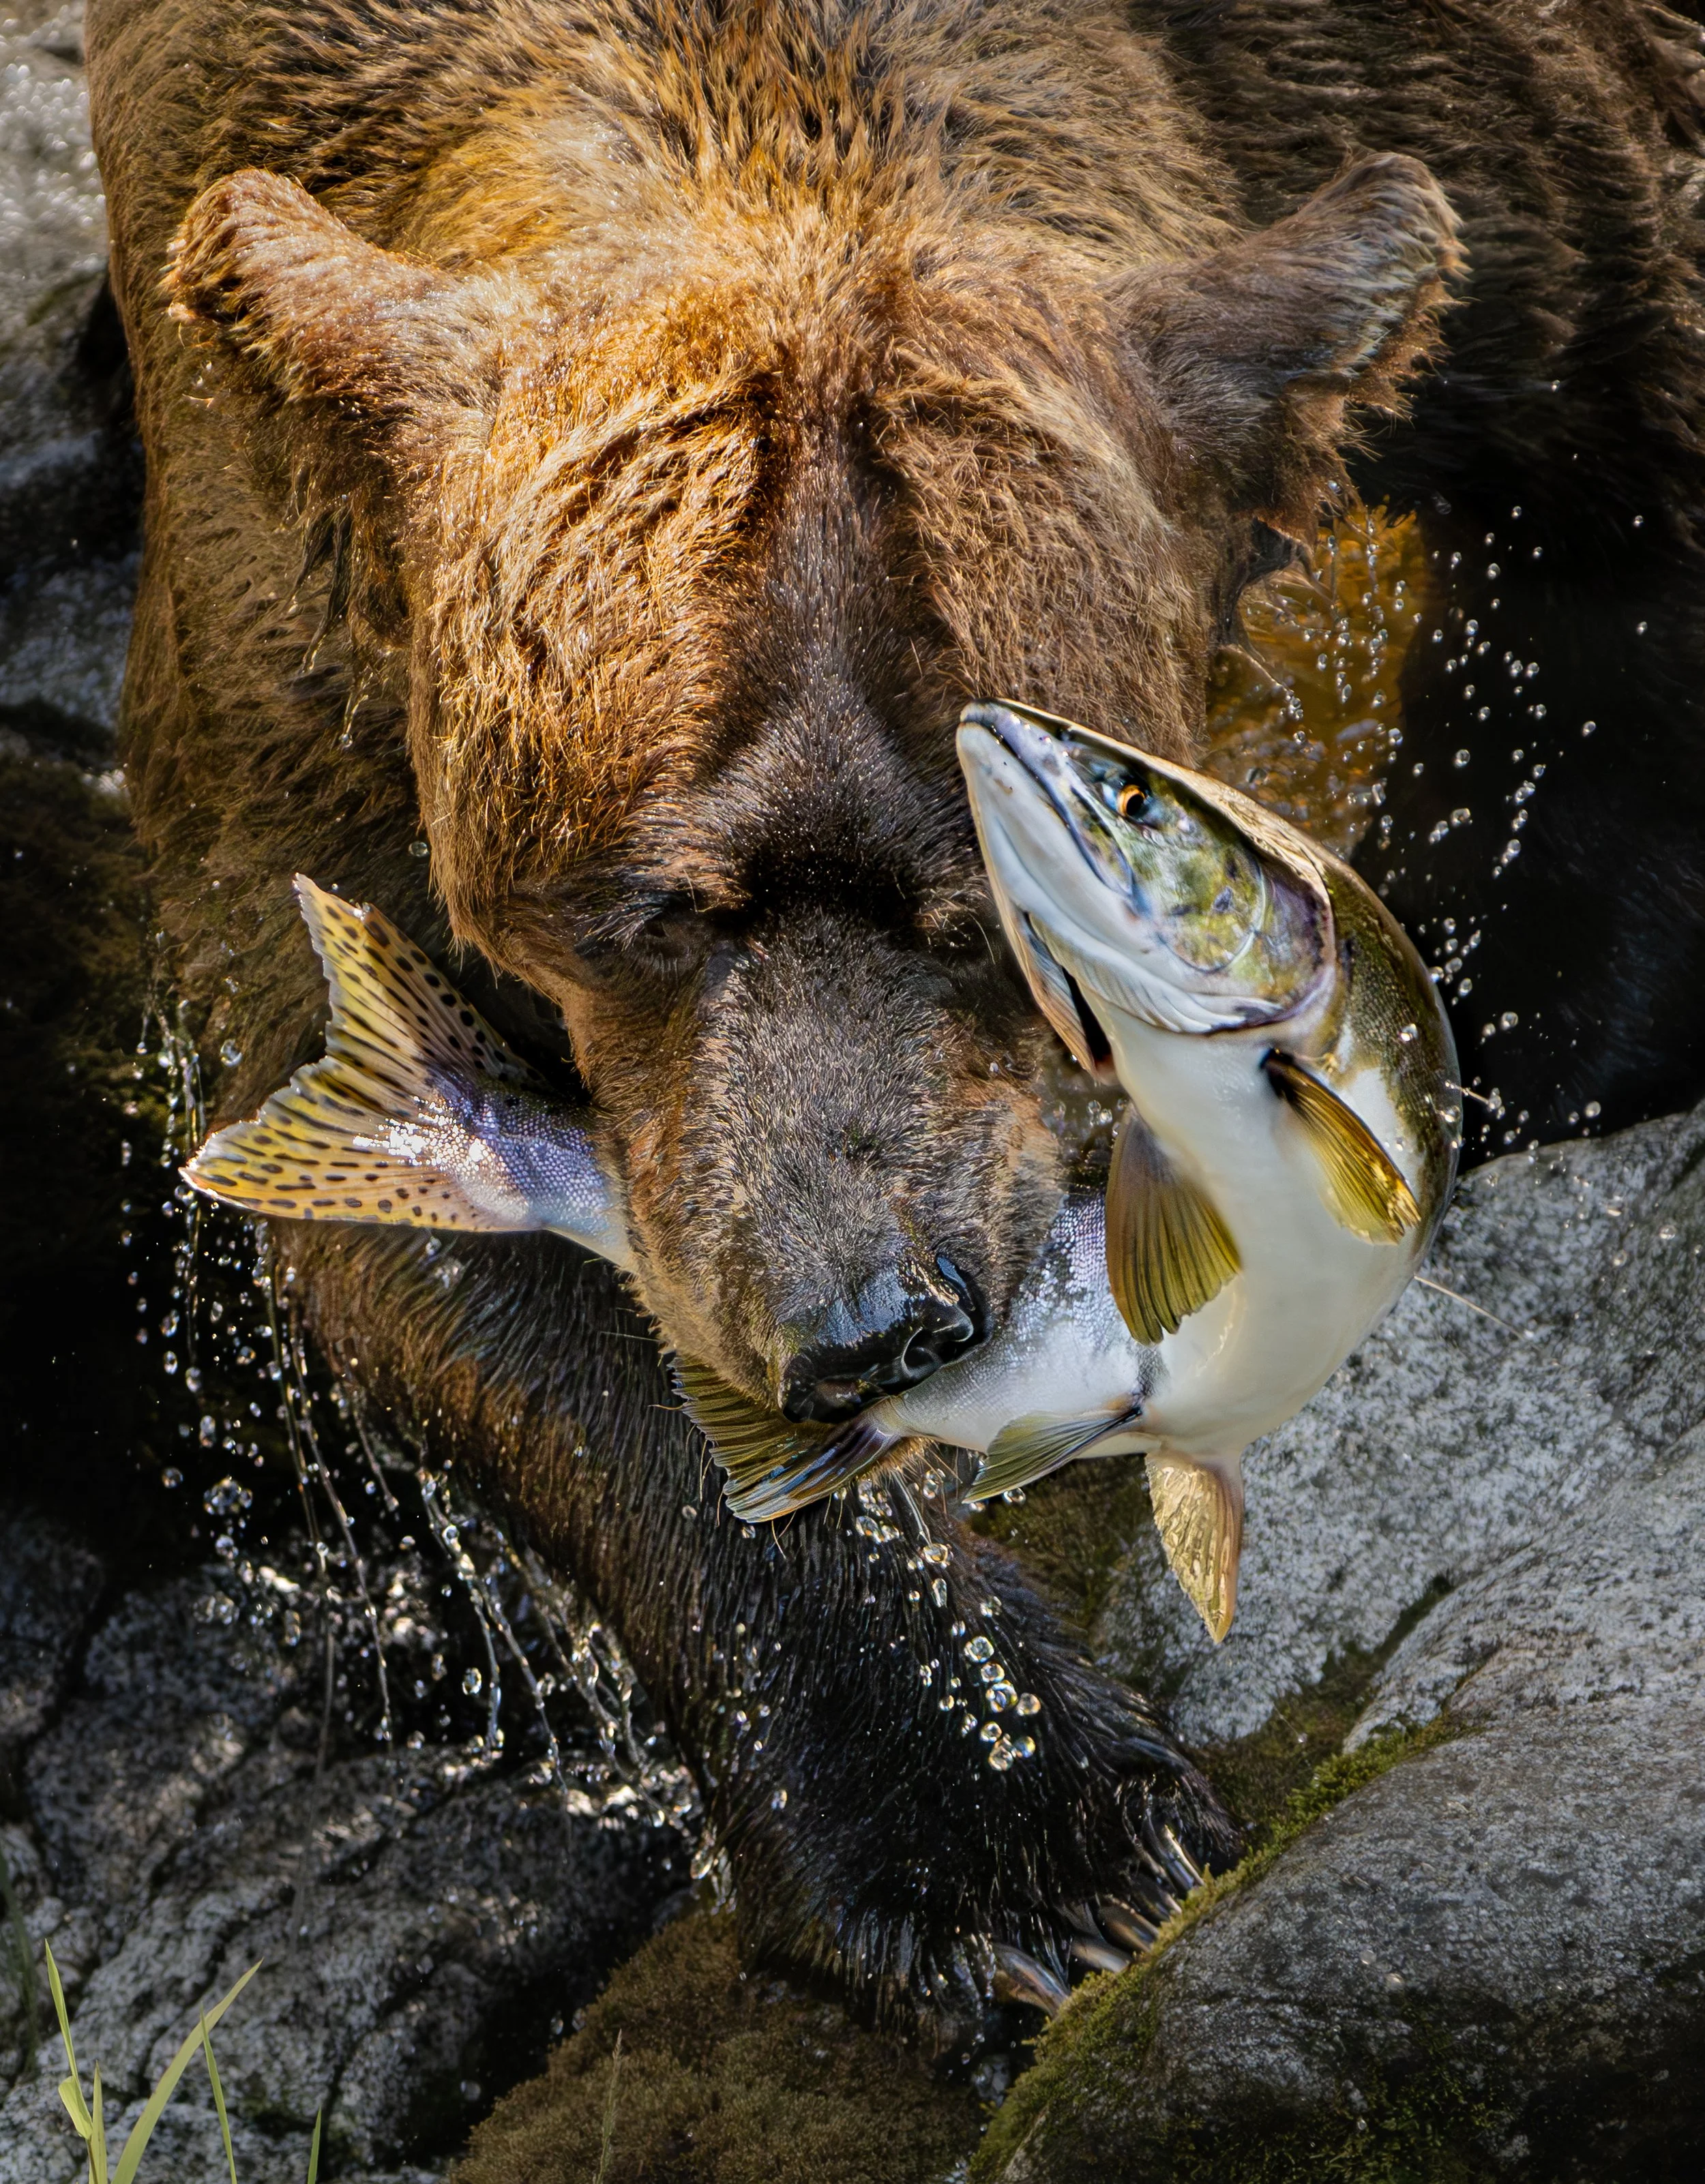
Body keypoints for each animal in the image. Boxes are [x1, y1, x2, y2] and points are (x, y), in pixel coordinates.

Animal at [86, 0, 1705, 2026]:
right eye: (643, 910)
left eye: (981, 905)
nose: (864, 1322)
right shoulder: (288, 538)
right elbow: (464, 1251)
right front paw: (1021, 1842)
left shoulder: (1500, 139)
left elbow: (1618, 529)